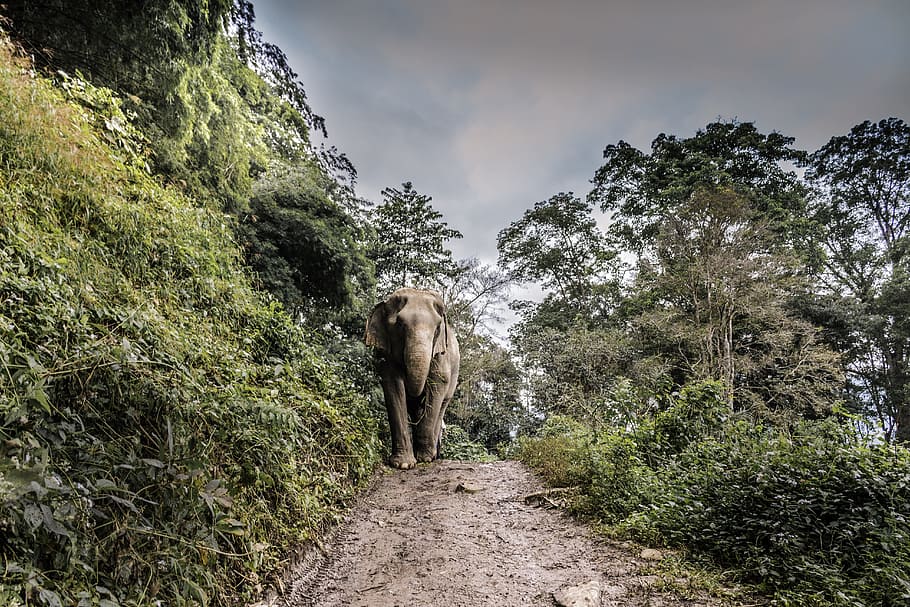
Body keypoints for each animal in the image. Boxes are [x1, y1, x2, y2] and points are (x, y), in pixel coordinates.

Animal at [365, 288, 460, 469]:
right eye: (400, 325)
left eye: (437, 328)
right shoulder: (386, 354)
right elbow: (393, 385)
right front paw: (403, 464)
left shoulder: (440, 354)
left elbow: (437, 384)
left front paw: (425, 459)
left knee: (441, 405)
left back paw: (432, 455)